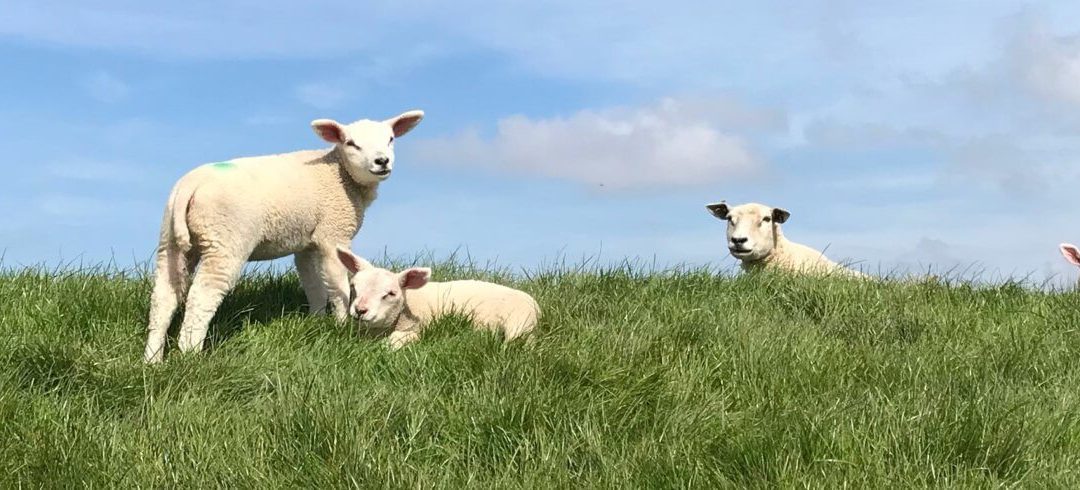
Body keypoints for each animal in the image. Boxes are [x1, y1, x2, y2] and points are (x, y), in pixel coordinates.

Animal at [142, 111, 425, 362]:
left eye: (390, 139)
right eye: (351, 143)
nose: (382, 161)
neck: (340, 173)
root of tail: (189, 185)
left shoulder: (307, 242)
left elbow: (313, 284)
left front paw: (317, 320)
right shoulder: (333, 232)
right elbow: (338, 285)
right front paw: (344, 323)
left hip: (172, 239)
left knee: (163, 296)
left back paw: (153, 360)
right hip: (225, 238)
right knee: (202, 294)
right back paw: (190, 353)